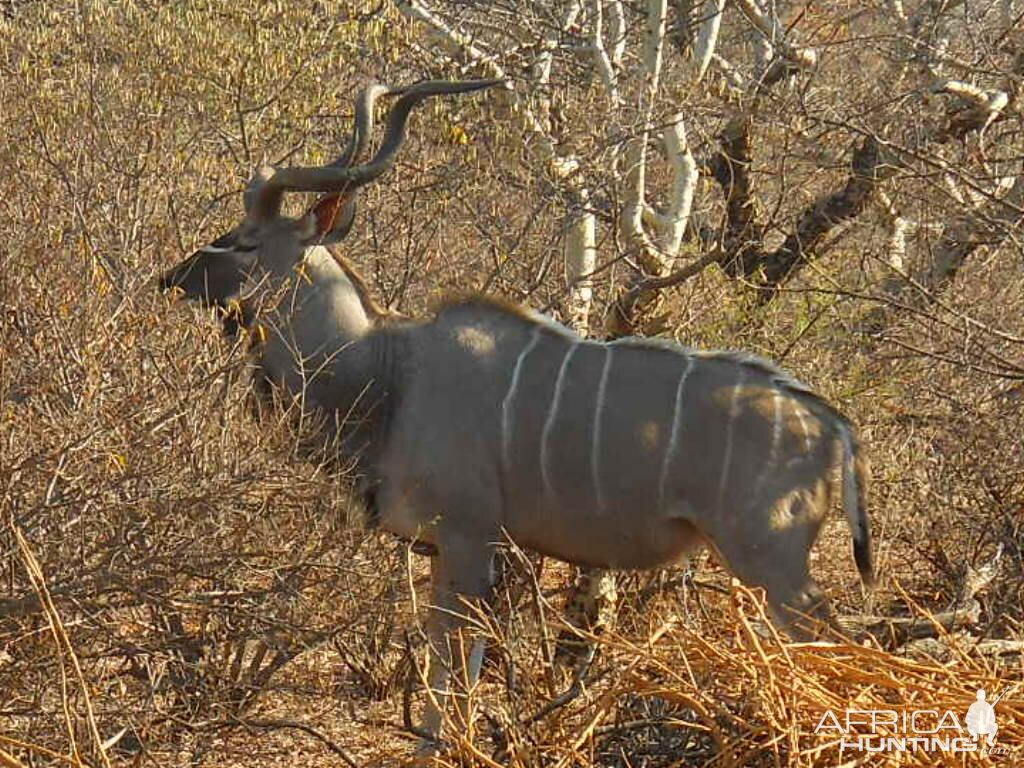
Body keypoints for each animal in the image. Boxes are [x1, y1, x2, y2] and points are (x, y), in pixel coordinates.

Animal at [159, 81, 872, 749]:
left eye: (247, 243)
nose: (172, 279)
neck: (388, 371)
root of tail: (831, 425)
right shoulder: (451, 550)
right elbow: (455, 664)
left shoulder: (469, 539)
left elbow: (452, 673)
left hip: (770, 556)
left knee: (840, 645)